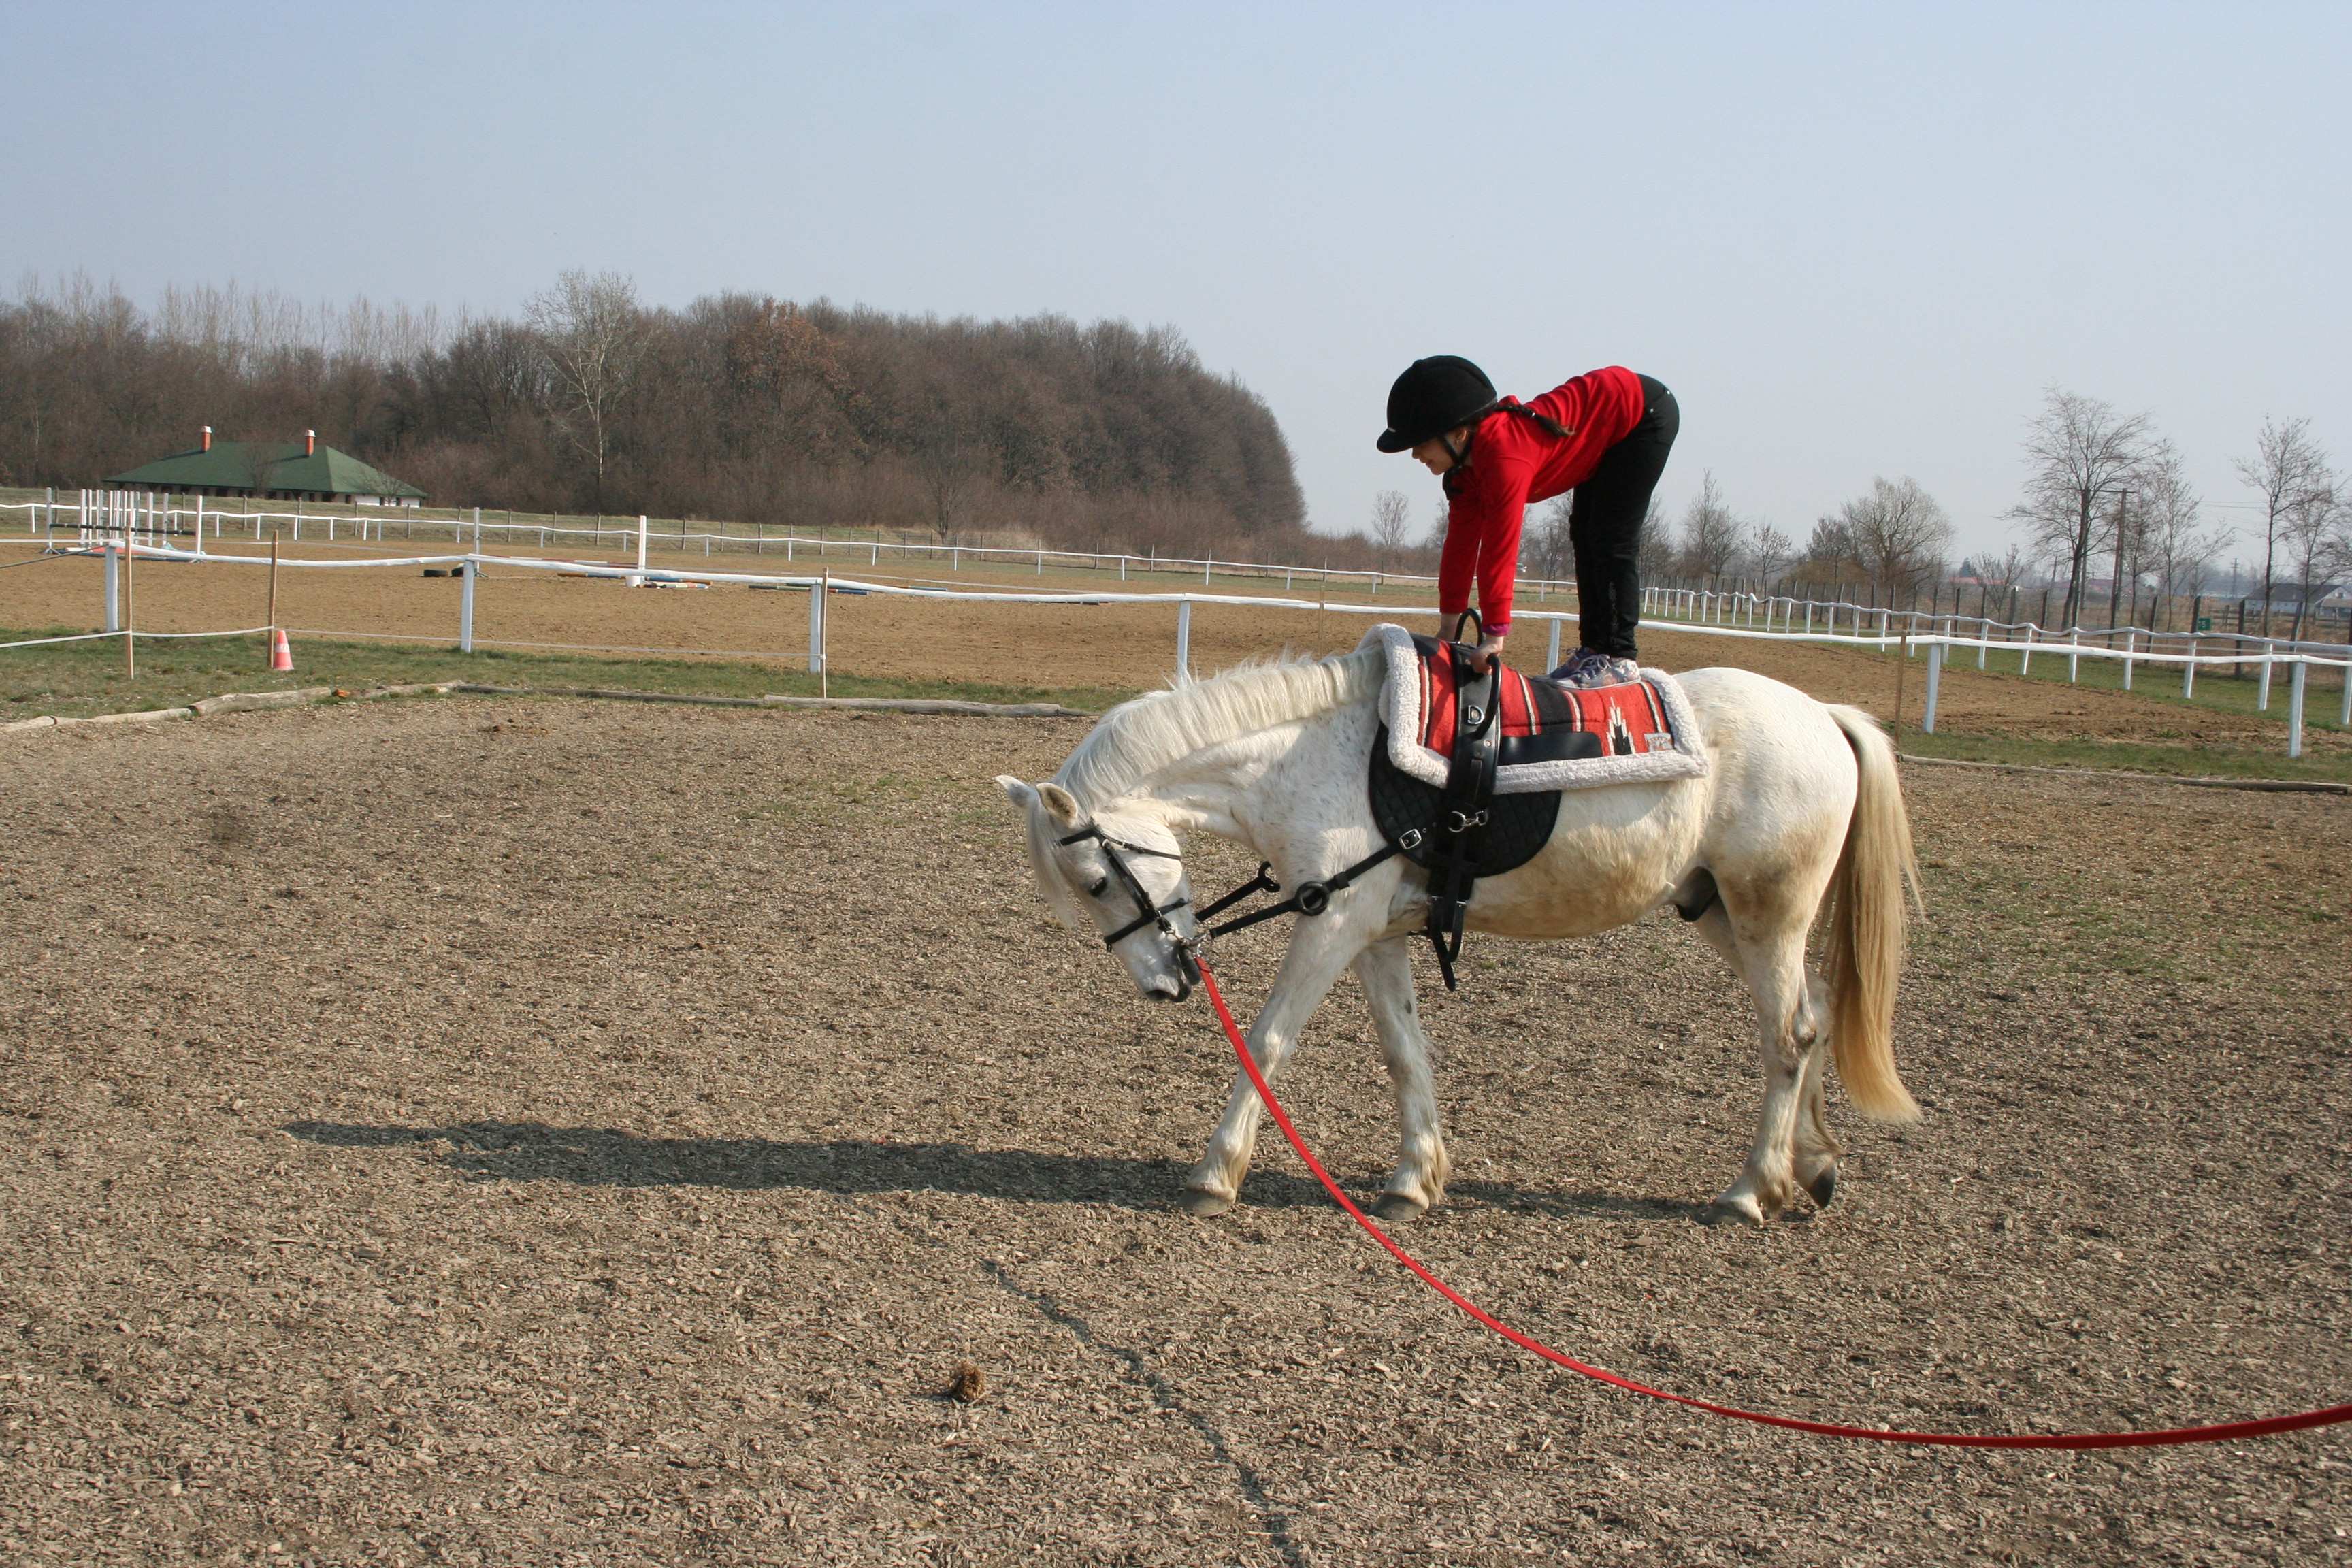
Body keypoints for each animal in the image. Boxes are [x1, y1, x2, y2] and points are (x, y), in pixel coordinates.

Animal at [1002, 634, 1919, 1222]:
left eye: (1095, 882)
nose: (1165, 982)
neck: (1311, 757)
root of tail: (1824, 715)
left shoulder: (1333, 926)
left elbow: (1266, 1041)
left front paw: (1215, 1172)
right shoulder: (1373, 933)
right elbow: (1404, 1051)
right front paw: (1415, 1179)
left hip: (1770, 917)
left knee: (1788, 1038)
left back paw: (1751, 1189)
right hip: (1719, 911)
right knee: (1808, 1024)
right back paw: (1810, 1167)